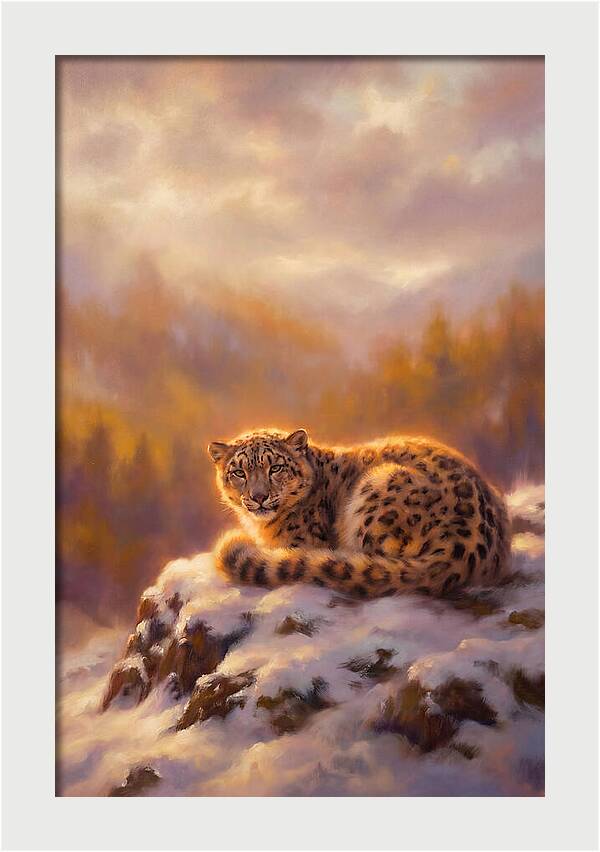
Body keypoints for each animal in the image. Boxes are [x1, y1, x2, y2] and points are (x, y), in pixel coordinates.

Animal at [208, 428, 510, 599]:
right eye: (239, 472)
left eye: (276, 468)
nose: (259, 497)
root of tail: (459, 552)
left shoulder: (299, 542)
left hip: (377, 487)